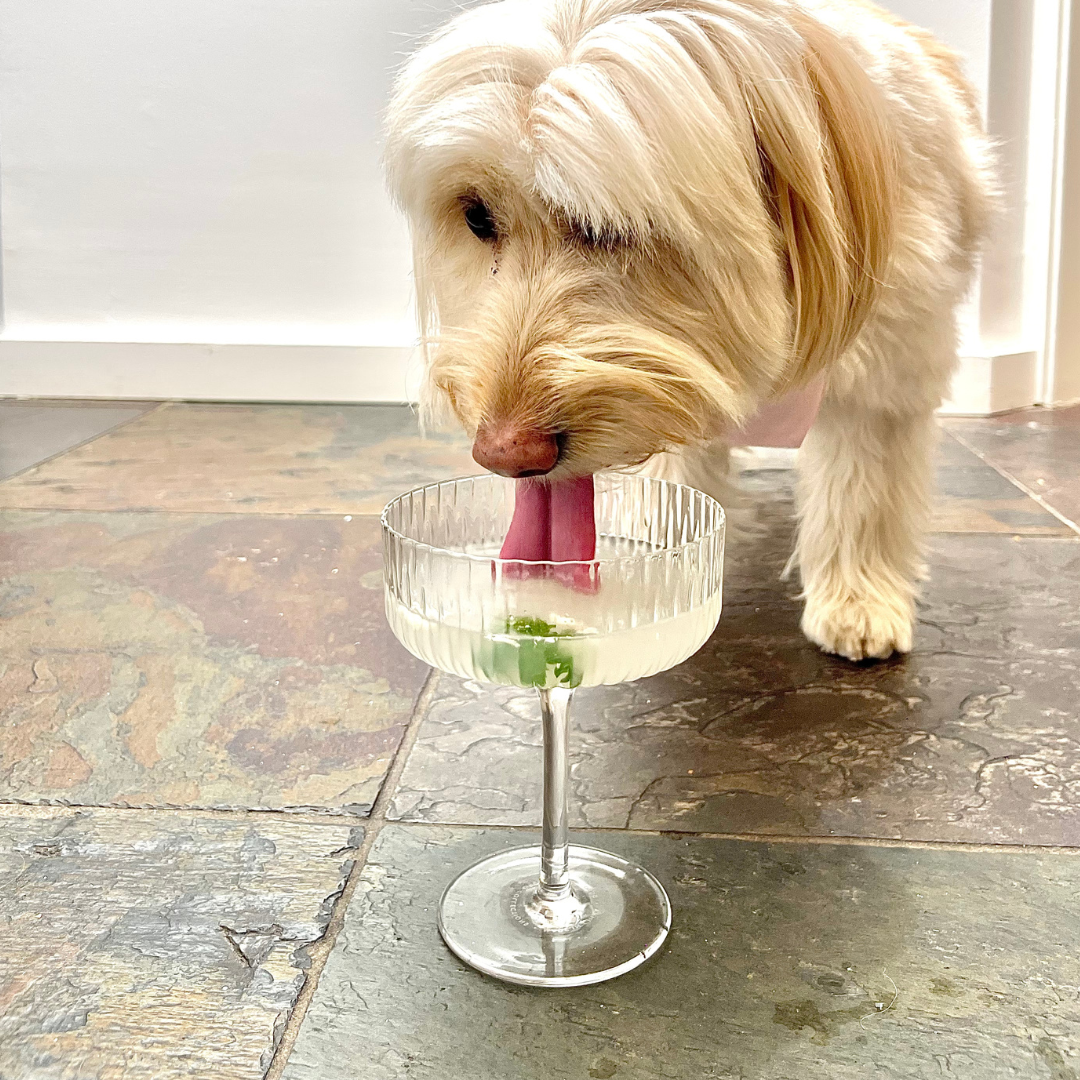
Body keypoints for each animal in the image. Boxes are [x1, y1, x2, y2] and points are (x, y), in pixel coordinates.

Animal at [386, 0, 993, 660]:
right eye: (476, 215)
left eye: (611, 225)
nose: (505, 454)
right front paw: (656, 551)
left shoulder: (885, 375)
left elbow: (862, 491)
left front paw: (860, 600)